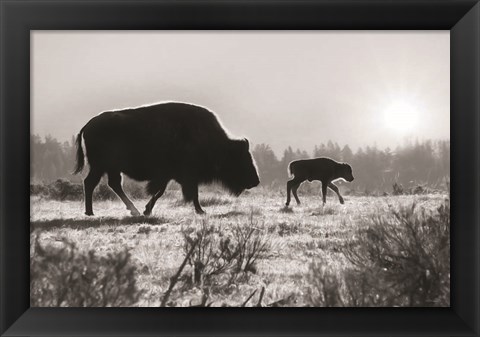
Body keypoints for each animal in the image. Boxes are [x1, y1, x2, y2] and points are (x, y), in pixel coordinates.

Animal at [74, 101, 258, 214]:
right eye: (242, 159)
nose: (256, 181)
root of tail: (88, 125)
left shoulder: (173, 176)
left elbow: (164, 191)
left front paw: (147, 210)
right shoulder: (183, 175)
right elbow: (179, 192)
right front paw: (201, 211)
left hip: (110, 168)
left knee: (112, 184)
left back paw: (132, 210)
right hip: (100, 166)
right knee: (92, 183)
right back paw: (91, 212)